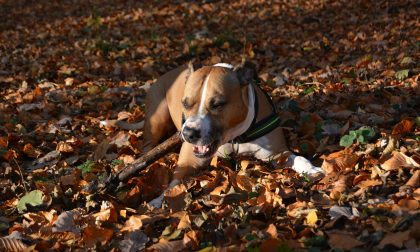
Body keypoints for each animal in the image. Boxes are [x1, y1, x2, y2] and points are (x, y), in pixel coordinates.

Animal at [143, 61, 324, 207]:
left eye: (217, 105)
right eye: (185, 104)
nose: (188, 133)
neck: (234, 137)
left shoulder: (277, 153)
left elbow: (298, 158)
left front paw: (311, 169)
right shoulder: (189, 159)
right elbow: (174, 182)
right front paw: (159, 200)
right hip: (156, 118)